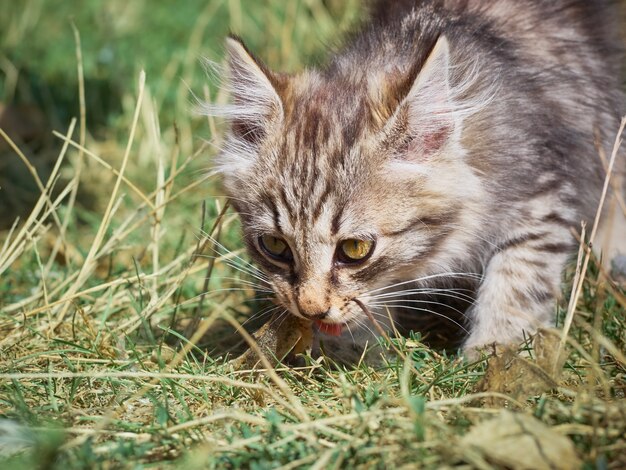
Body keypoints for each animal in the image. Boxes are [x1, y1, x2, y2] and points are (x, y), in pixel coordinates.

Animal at [204, 0, 620, 358]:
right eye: (274, 245)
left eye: (354, 249)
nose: (310, 309)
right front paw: (352, 349)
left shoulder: (542, 192)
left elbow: (518, 280)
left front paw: (497, 354)